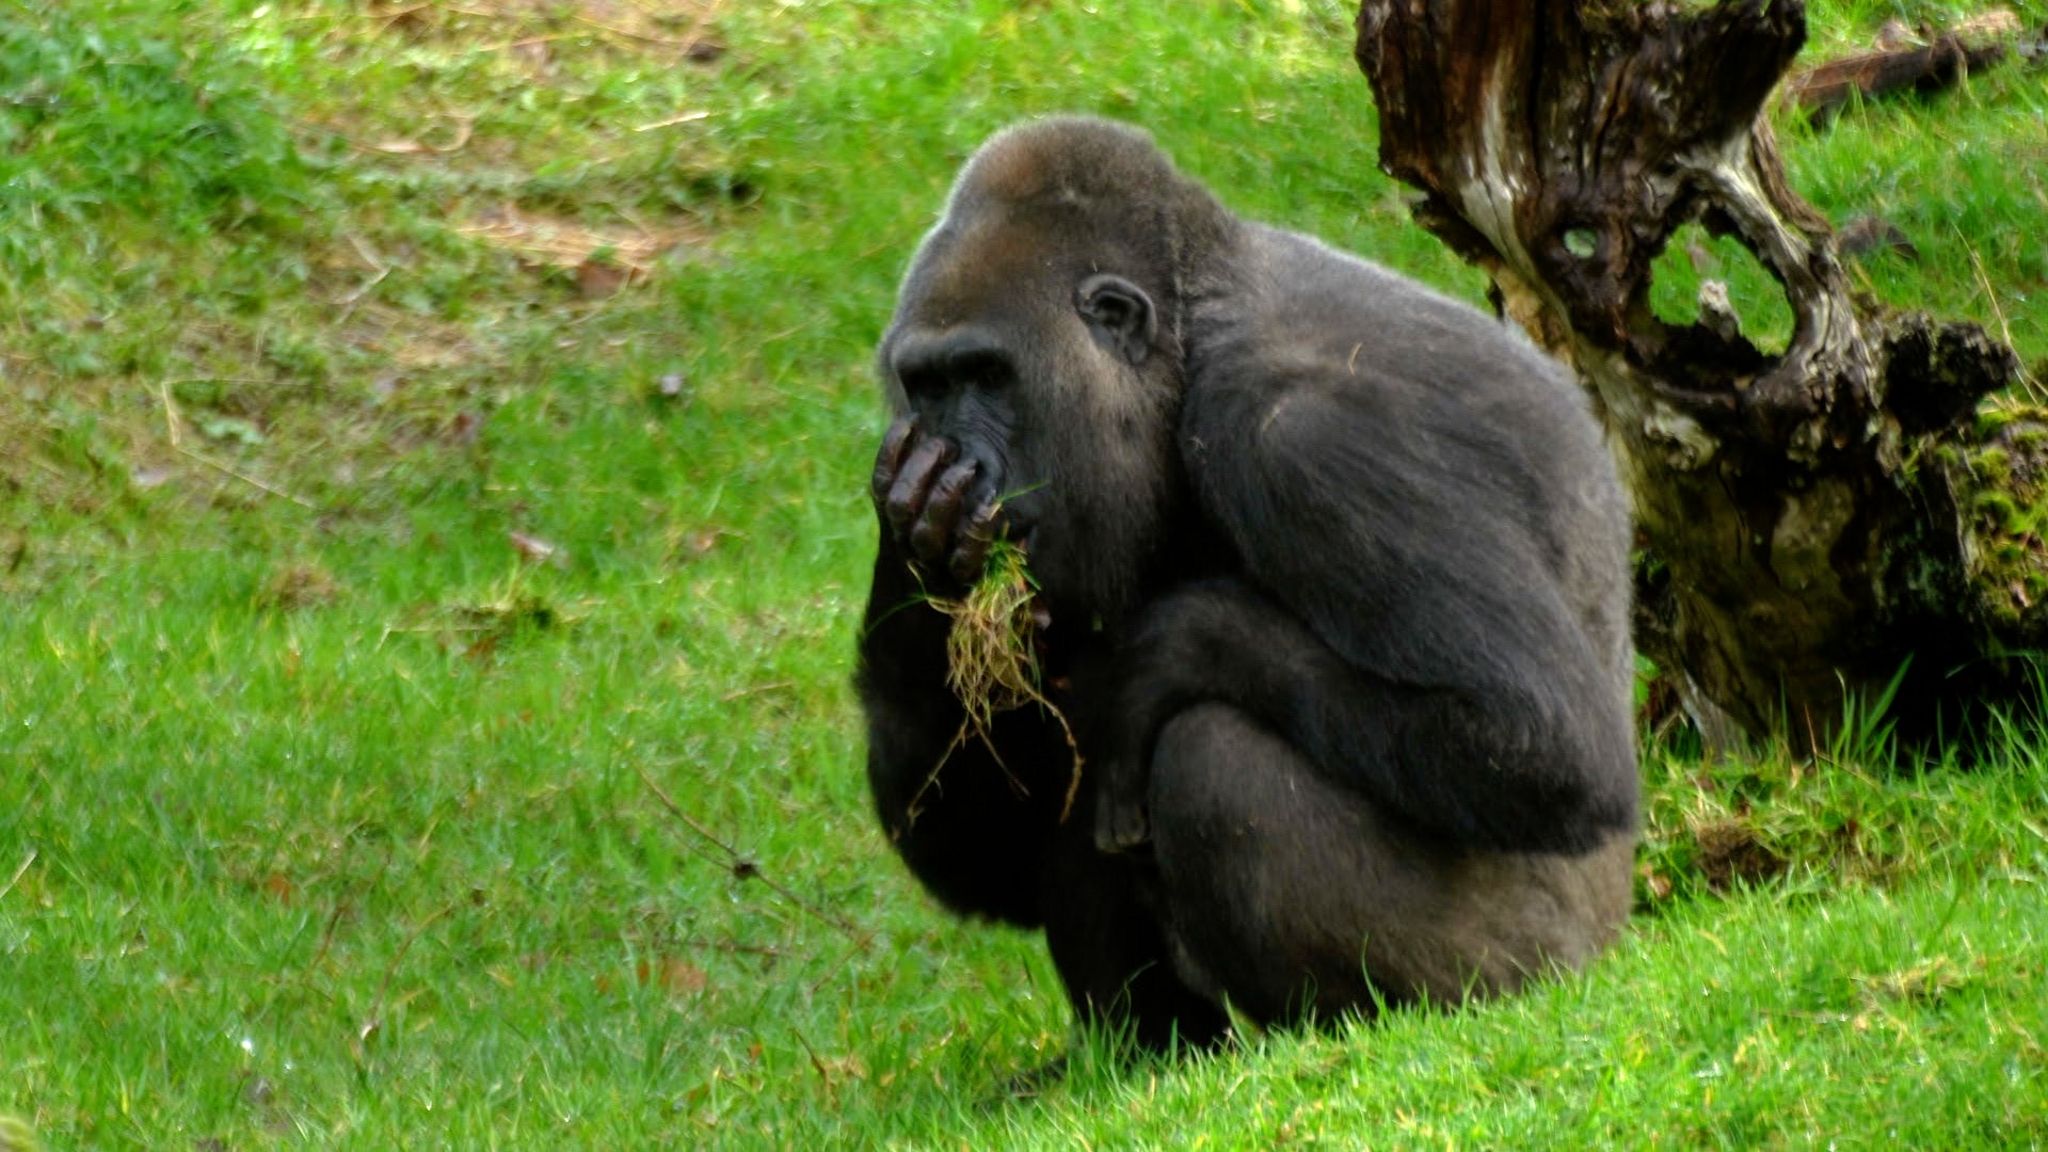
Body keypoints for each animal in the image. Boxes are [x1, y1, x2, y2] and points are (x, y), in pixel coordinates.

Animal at [856, 116, 1638, 1049]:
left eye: (986, 375)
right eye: (928, 387)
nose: (960, 463)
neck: (1195, 333)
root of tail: (1615, 936)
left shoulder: (1307, 439)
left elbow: (1544, 749)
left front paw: (1177, 643)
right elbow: (990, 857)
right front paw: (912, 545)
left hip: (1528, 967)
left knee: (1208, 755)